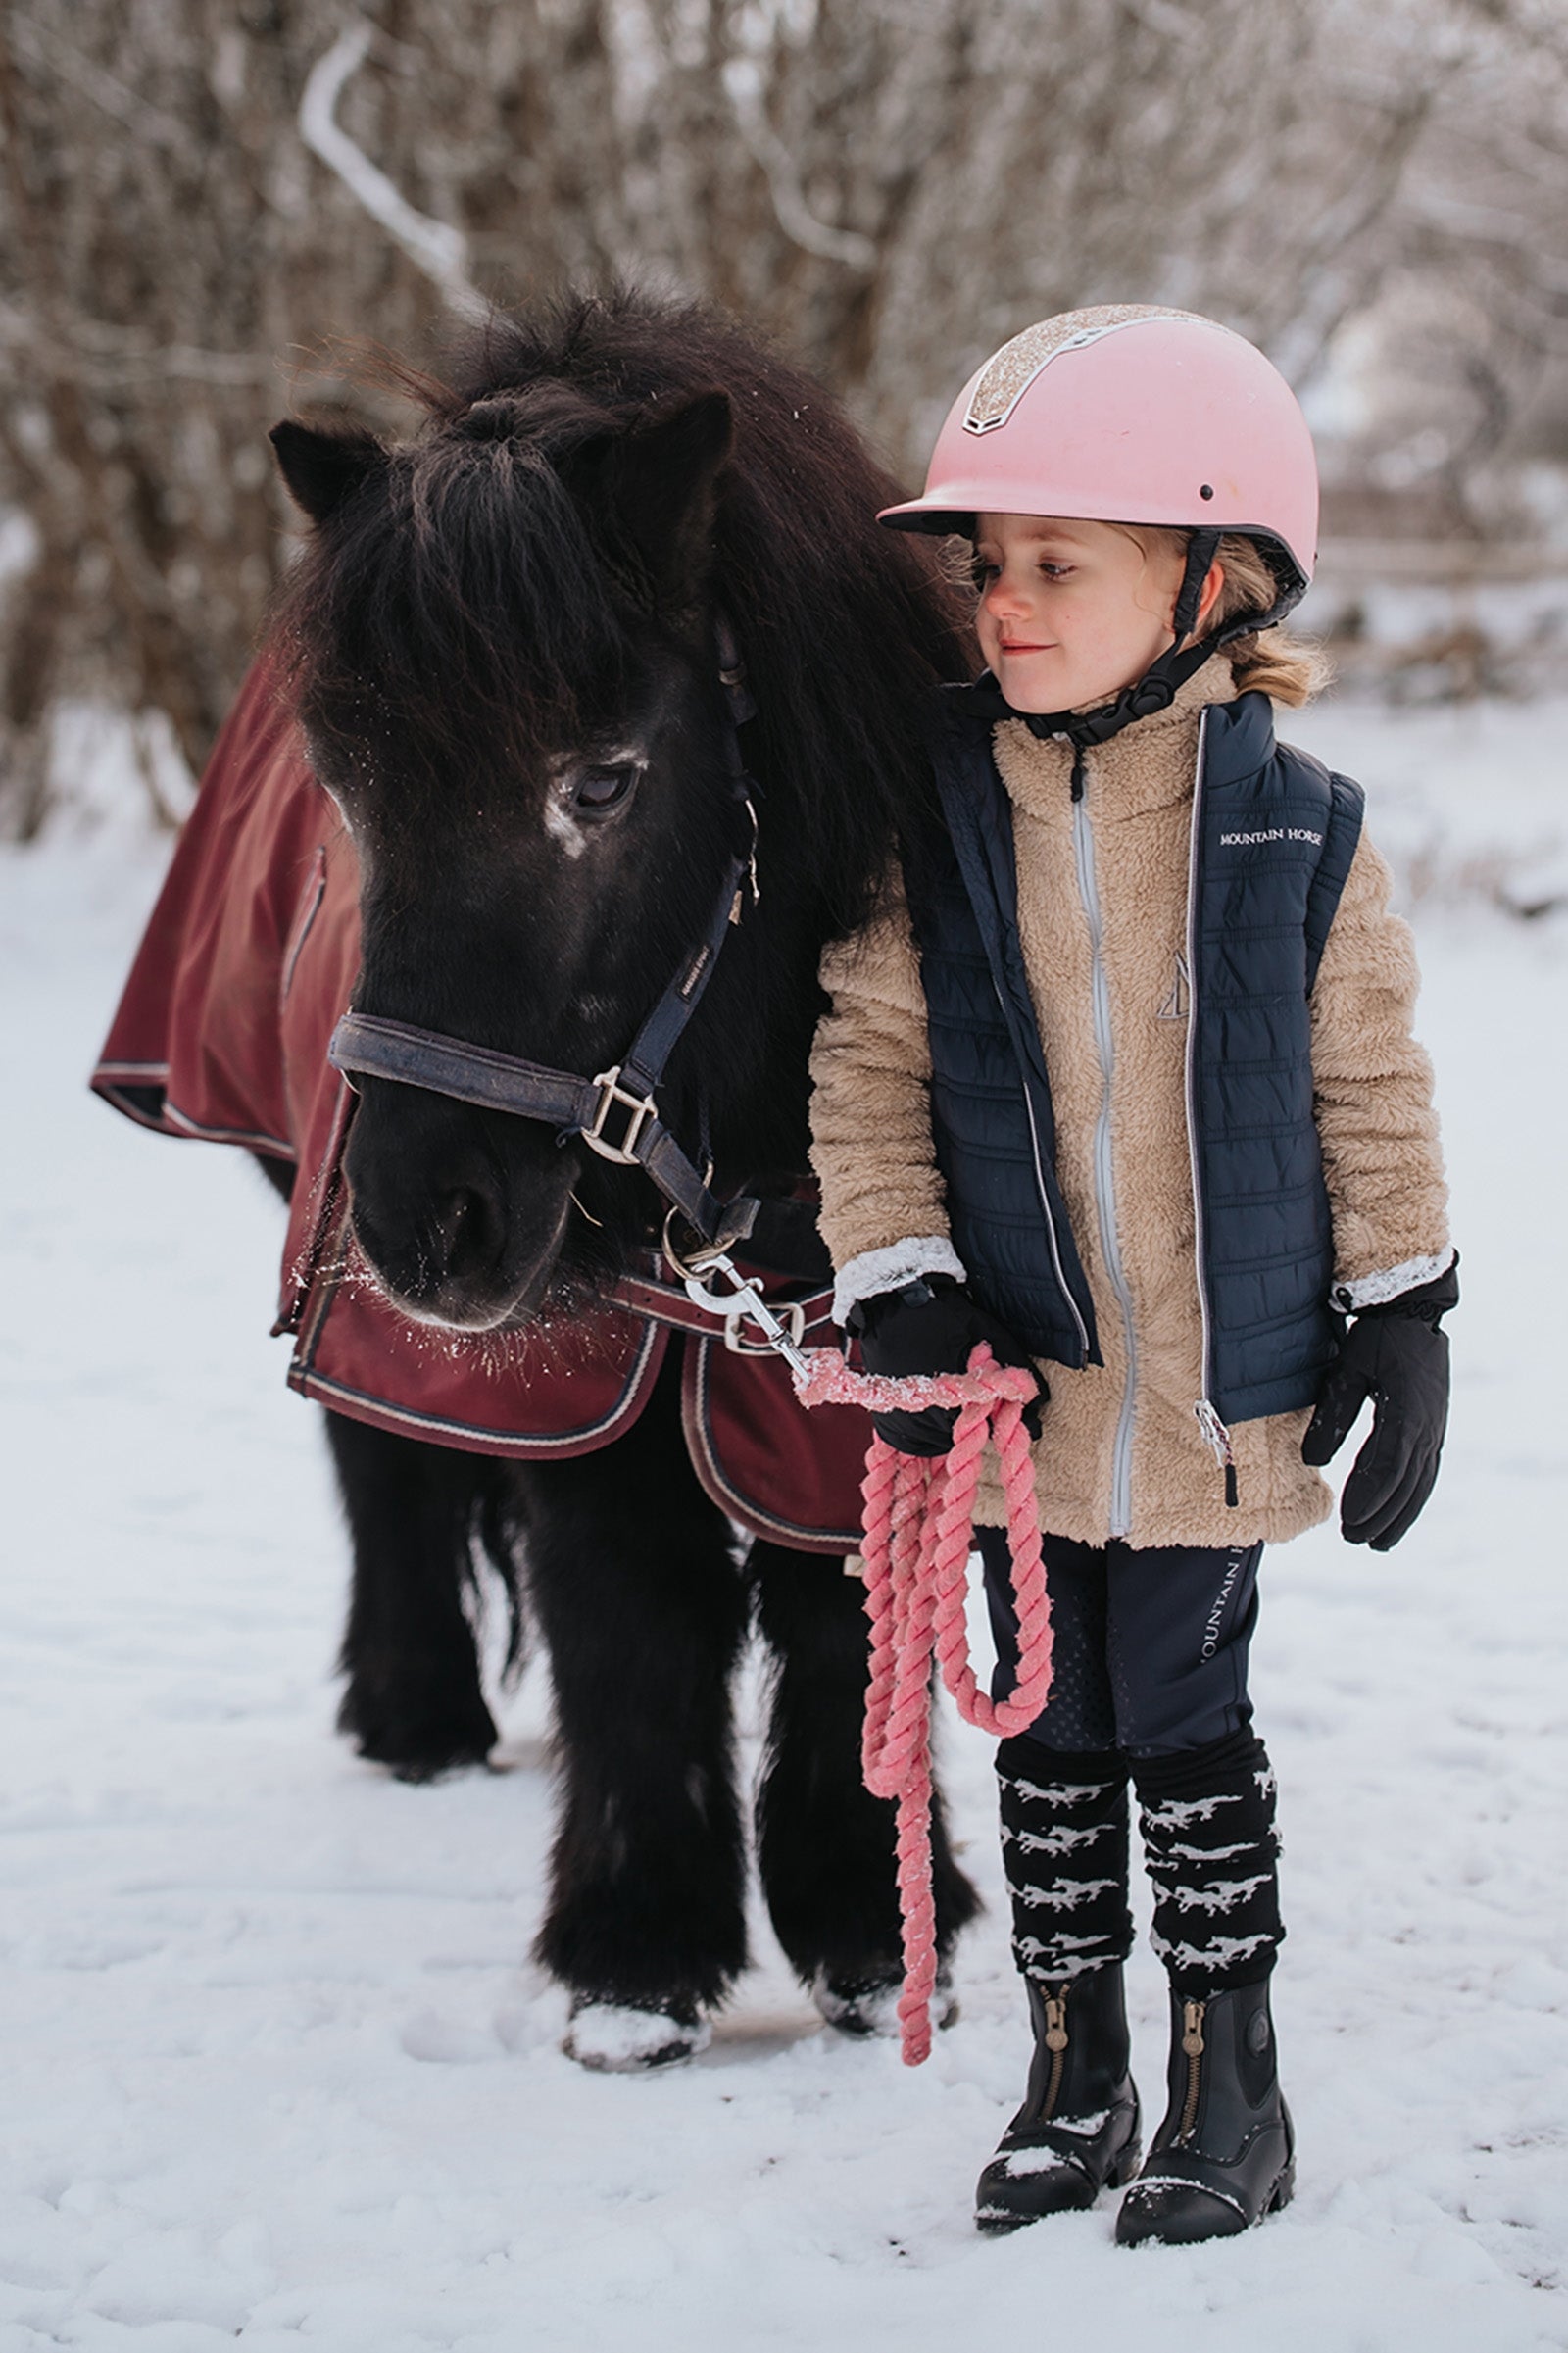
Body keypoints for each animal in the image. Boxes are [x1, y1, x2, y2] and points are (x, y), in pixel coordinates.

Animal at [252, 286, 980, 2066]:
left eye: (600, 779)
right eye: (343, 789)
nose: (426, 1226)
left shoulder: (855, 1342)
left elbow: (838, 1594)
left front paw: (872, 1928)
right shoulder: (584, 1356)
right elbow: (629, 1613)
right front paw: (637, 1958)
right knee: (378, 1457)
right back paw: (416, 1711)